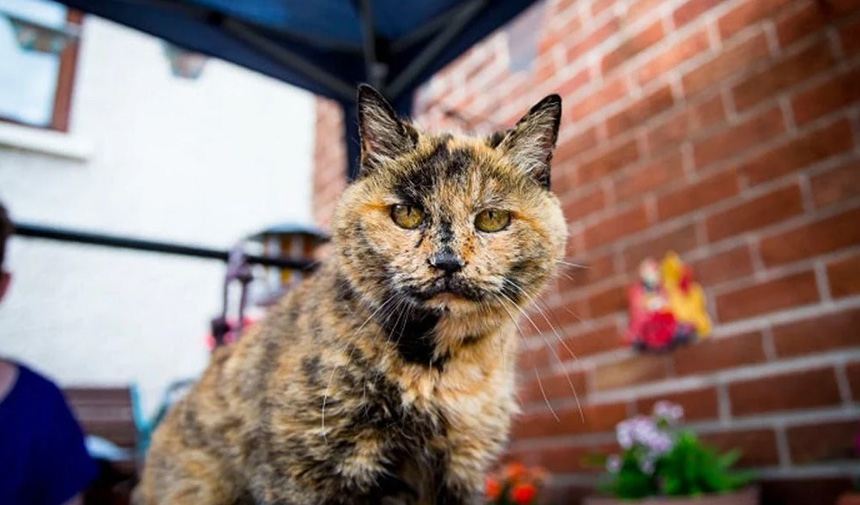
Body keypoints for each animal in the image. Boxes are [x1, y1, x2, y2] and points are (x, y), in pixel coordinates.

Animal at [133, 86, 564, 504]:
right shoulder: (304, 471)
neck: (434, 369)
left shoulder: (461, 471)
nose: (446, 261)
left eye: (492, 219)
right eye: (406, 213)